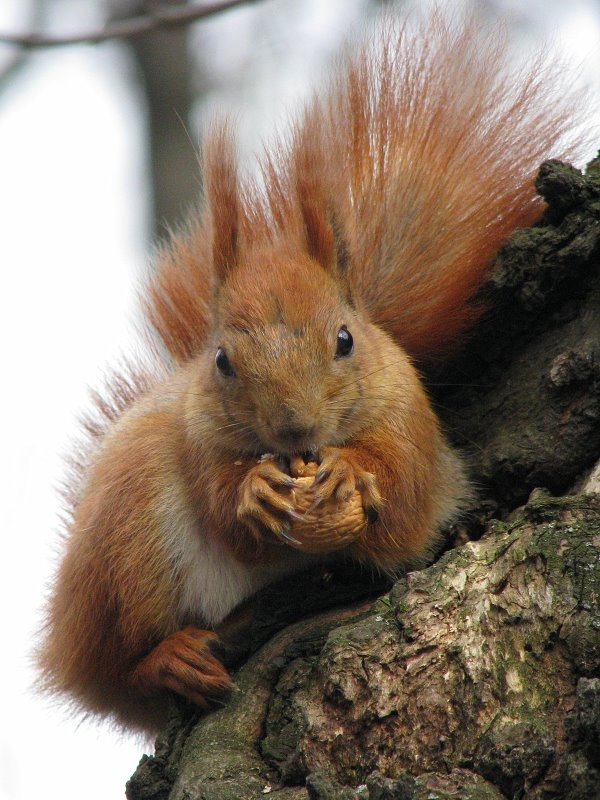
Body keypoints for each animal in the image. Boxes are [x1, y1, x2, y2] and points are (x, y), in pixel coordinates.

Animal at [37, 14, 586, 736]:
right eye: (221, 361)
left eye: (346, 339)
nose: (294, 430)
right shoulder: (196, 433)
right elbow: (223, 509)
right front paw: (251, 493)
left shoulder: (411, 421)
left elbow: (403, 493)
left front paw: (352, 472)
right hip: (126, 532)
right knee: (118, 669)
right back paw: (167, 660)